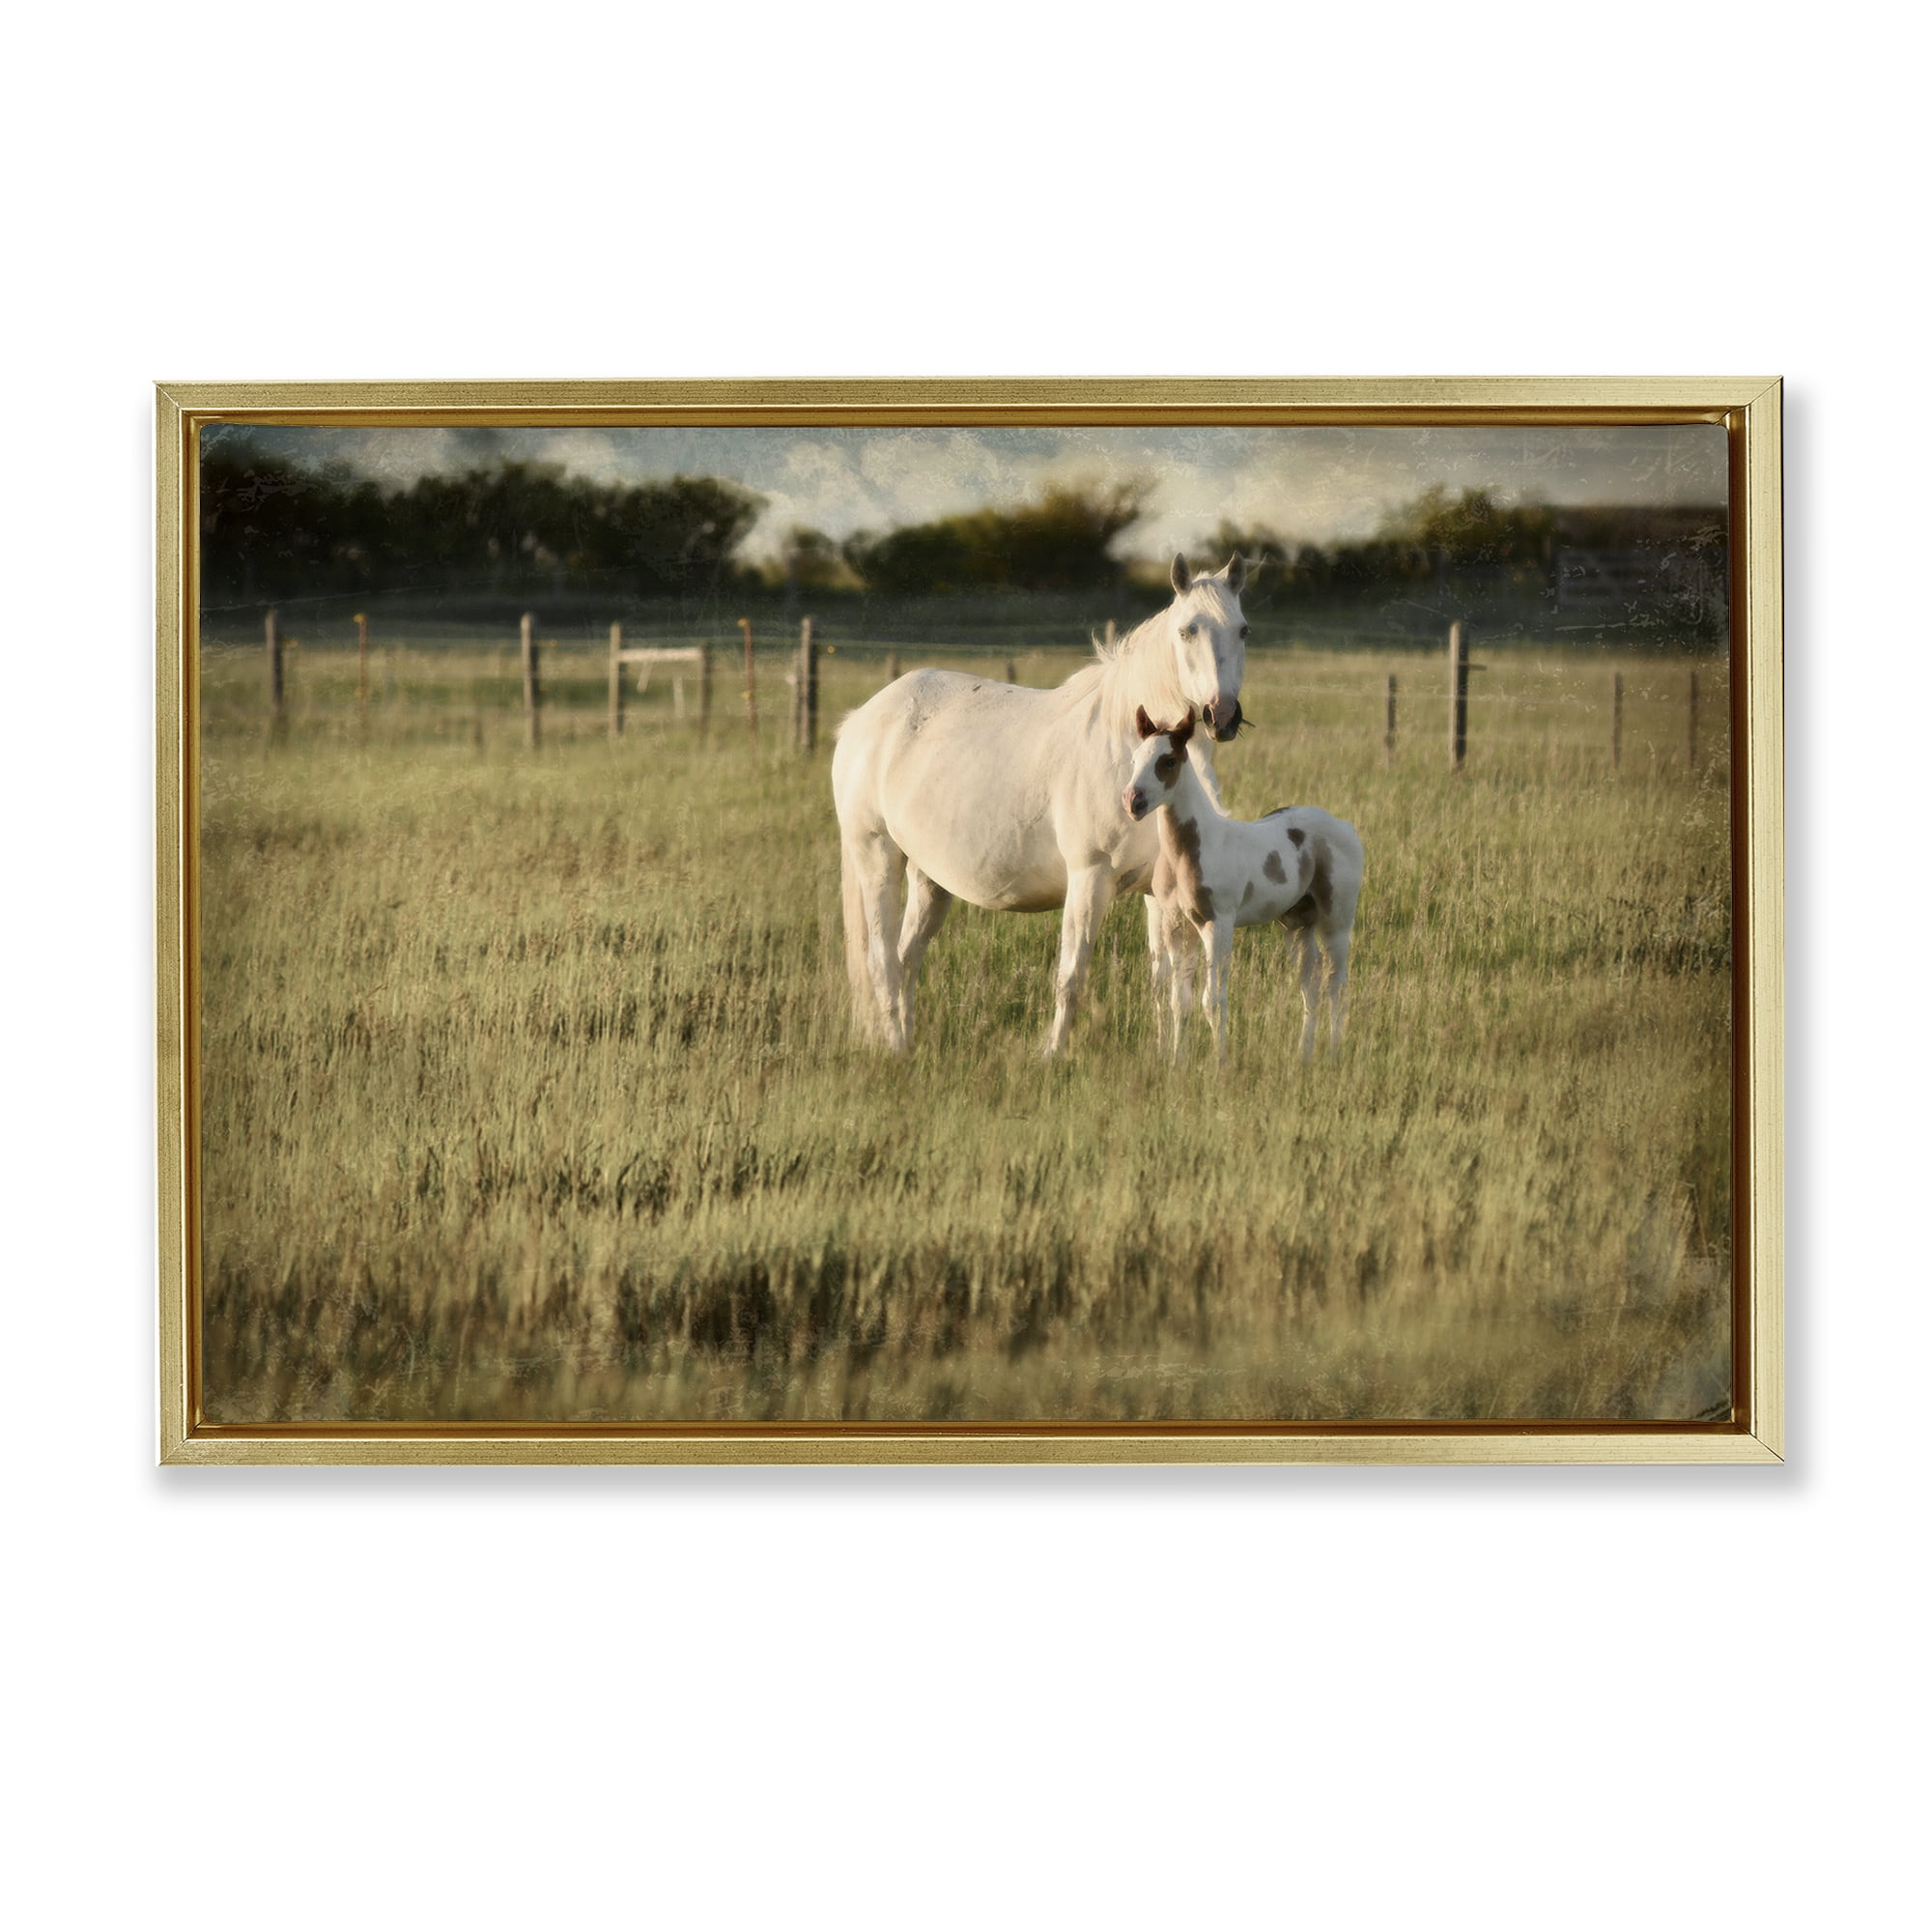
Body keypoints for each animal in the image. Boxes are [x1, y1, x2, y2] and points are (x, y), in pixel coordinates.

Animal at [832, 554, 1252, 1056]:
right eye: (1187, 630)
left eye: (1243, 630)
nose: (1221, 715)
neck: (1123, 750)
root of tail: (861, 719)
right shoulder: (1089, 878)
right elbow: (1071, 976)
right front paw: (1052, 1054)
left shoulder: (1157, 891)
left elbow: (1166, 981)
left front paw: (1165, 1055)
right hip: (877, 858)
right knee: (882, 962)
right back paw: (897, 1049)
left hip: (929, 879)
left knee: (906, 959)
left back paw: (908, 1041)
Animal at [1122, 706, 1364, 1064]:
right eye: (1136, 757)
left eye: (1168, 760)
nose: (1132, 801)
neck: (1189, 851)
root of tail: (1346, 826)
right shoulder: (1177, 925)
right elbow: (1180, 1001)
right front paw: (1178, 1062)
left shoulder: (1217, 924)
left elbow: (1212, 1000)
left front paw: (1219, 1063)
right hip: (1298, 923)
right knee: (1311, 980)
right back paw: (1303, 1055)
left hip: (1337, 920)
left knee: (1336, 983)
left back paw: (1332, 1054)